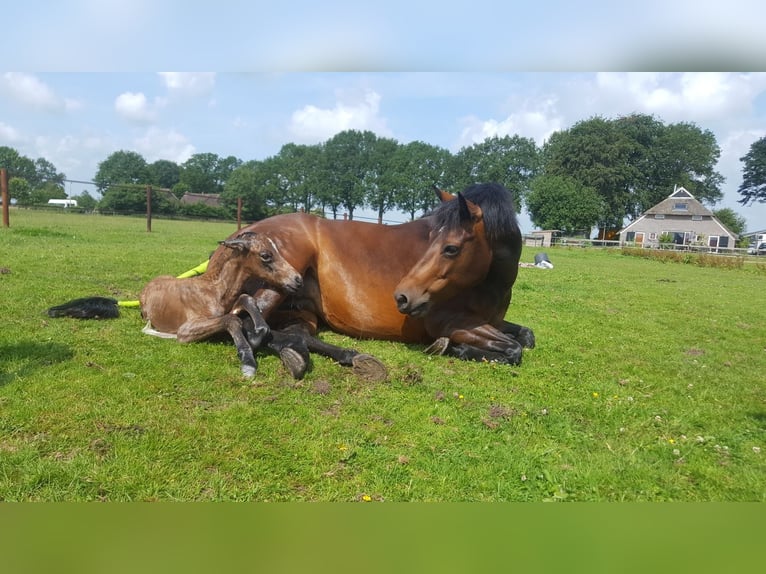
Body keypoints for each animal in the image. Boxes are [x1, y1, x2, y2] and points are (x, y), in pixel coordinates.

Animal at [231, 182, 534, 367]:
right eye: (431, 238)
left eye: (451, 248)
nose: (403, 297)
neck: (489, 285)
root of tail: (243, 234)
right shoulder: (449, 322)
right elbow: (514, 349)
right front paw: (455, 348)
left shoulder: (492, 321)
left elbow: (526, 337)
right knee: (250, 326)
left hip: (302, 312)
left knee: (295, 334)